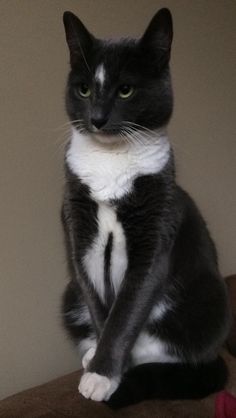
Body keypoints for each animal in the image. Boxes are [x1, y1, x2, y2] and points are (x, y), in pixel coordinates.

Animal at [60, 9, 230, 408]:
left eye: (126, 90)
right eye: (84, 89)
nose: (97, 117)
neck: (109, 163)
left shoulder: (156, 230)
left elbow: (127, 310)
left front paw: (102, 376)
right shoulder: (78, 229)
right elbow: (99, 307)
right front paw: (99, 362)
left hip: (211, 302)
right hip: (68, 295)